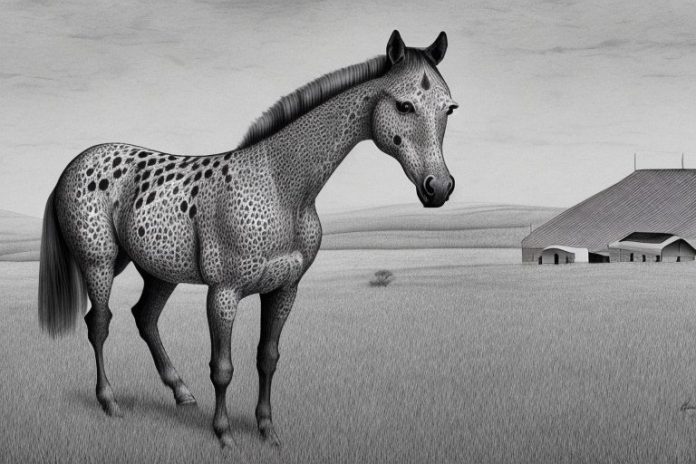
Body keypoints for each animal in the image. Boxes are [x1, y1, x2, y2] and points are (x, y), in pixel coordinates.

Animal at [37, 30, 458, 449]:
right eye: (404, 105)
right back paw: (109, 401)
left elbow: (267, 357)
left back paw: (181, 392)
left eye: (449, 109)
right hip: (100, 264)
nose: (438, 188)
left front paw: (267, 430)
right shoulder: (224, 293)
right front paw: (224, 435)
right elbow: (222, 367)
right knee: (99, 323)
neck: (281, 187)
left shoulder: (284, 289)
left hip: (158, 270)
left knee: (145, 318)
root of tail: (76, 163)